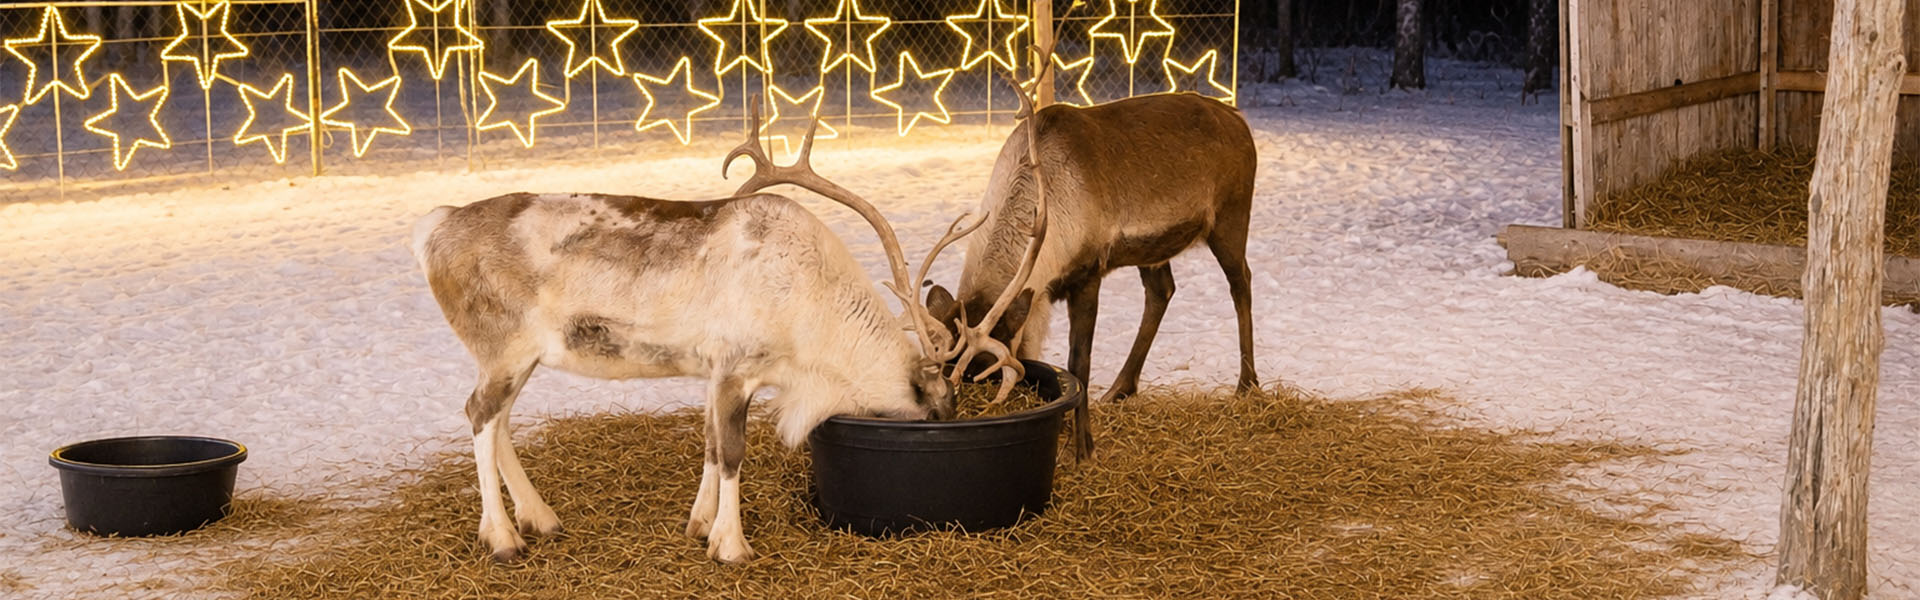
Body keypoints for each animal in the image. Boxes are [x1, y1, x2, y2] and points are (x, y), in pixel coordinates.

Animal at [407, 101, 1028, 565]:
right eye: (938, 411)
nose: (950, 427)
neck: (815, 327)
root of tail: (434, 225)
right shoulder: (736, 367)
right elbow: (731, 451)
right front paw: (731, 545)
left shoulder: (709, 371)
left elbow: (708, 442)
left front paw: (700, 524)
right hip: (504, 348)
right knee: (479, 415)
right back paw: (503, 540)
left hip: (516, 356)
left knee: (498, 421)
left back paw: (540, 519)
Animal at [924, 76, 1262, 463]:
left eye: (988, 372)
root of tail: (1238, 119)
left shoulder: (1086, 274)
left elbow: (1079, 364)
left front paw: (1084, 447)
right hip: (1153, 250)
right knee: (1162, 291)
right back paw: (1120, 389)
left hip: (1231, 216)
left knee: (1242, 283)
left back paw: (1247, 384)